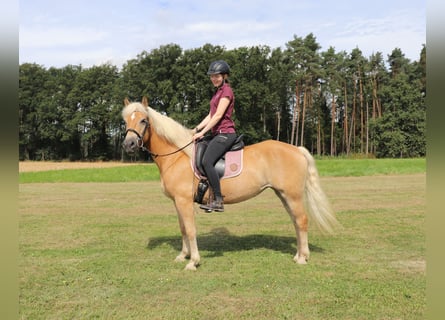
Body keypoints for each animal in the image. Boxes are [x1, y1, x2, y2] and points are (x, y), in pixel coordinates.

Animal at [119, 97, 338, 270]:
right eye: (125, 121)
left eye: (143, 120)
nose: (128, 144)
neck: (178, 155)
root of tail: (297, 149)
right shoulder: (177, 202)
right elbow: (182, 228)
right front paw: (183, 256)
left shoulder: (183, 201)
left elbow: (190, 229)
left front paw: (193, 261)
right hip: (284, 195)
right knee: (295, 221)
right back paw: (298, 255)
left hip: (293, 195)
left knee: (301, 220)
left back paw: (303, 258)